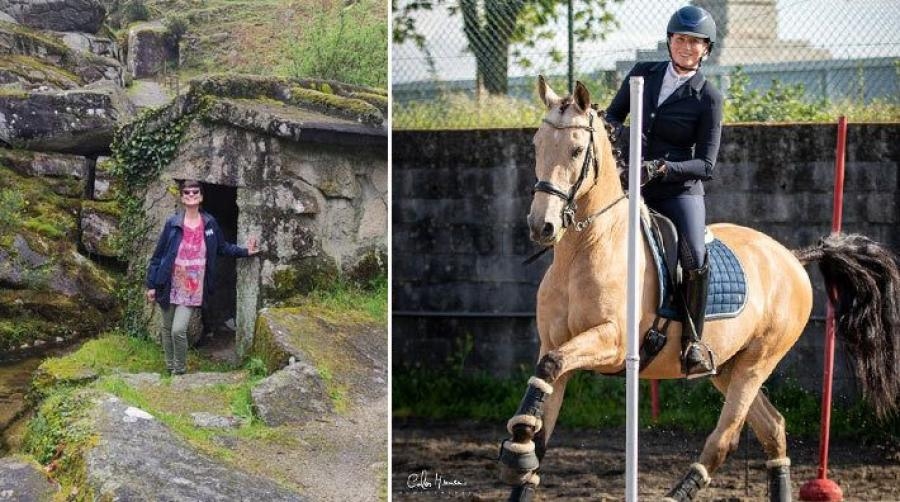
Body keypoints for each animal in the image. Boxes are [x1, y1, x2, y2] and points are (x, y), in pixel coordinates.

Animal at [500, 76, 900, 500]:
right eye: (536, 145)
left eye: (577, 150)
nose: (541, 226)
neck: (589, 246)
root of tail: (790, 257)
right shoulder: (555, 341)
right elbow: (545, 400)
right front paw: (522, 447)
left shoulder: (613, 343)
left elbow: (551, 365)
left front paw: (518, 444)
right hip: (727, 365)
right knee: (773, 428)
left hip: (758, 361)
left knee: (725, 439)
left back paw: (680, 491)